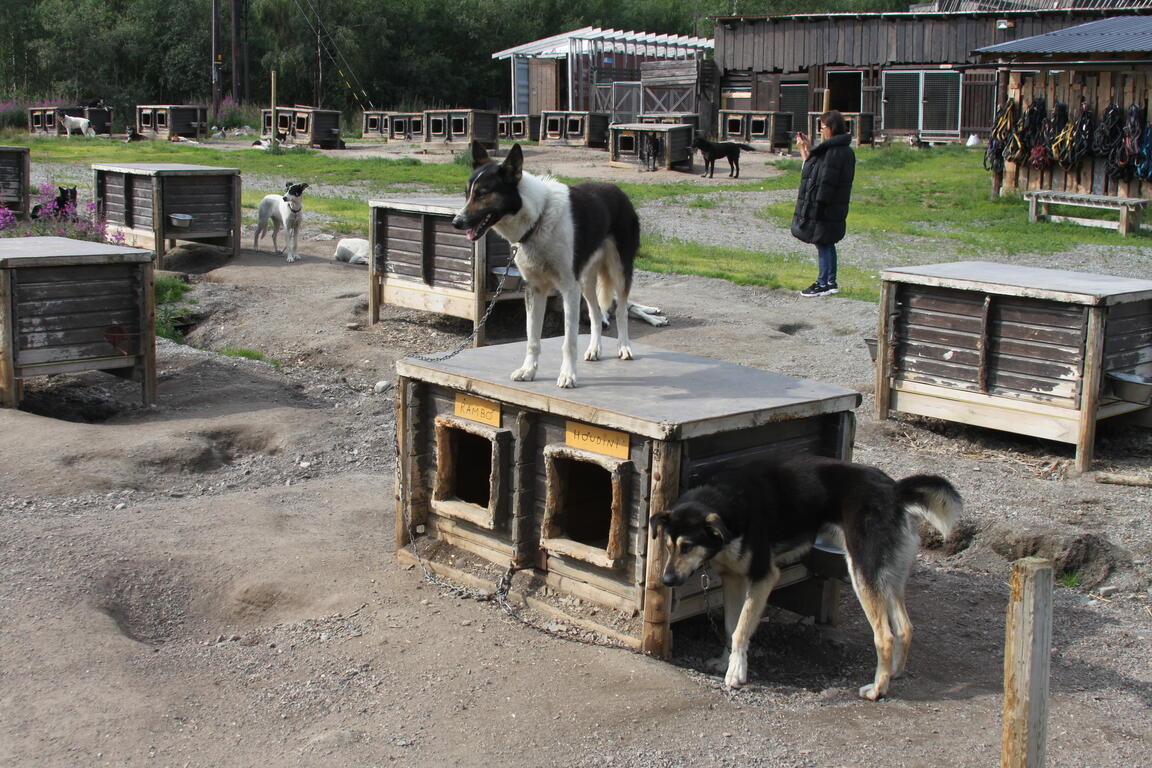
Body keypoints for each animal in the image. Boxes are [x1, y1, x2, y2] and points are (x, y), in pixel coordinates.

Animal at [453, 141, 645, 386]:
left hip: (618, 272)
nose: (456, 221)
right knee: (595, 313)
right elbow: (532, 338)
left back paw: (624, 347)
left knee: (620, 311)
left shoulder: (568, 289)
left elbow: (569, 341)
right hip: (585, 282)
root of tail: (618, 190)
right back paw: (594, 349)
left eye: (482, 194)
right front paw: (528, 371)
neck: (537, 220)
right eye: (467, 194)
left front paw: (568, 375)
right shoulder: (535, 290)